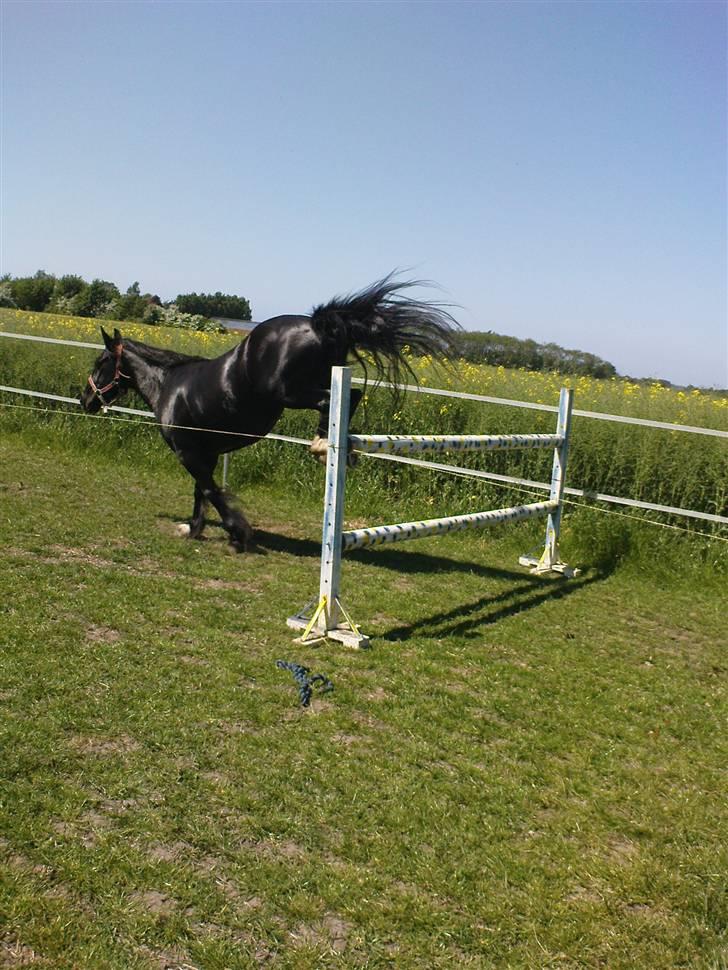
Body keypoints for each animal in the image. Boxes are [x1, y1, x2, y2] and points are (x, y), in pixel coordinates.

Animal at [80, 274, 458, 550]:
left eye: (100, 362)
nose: (85, 400)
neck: (169, 385)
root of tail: (317, 325)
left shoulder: (188, 452)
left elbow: (210, 490)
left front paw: (238, 533)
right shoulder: (204, 452)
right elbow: (201, 491)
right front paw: (195, 528)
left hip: (289, 393)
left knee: (337, 398)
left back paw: (323, 445)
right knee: (352, 393)